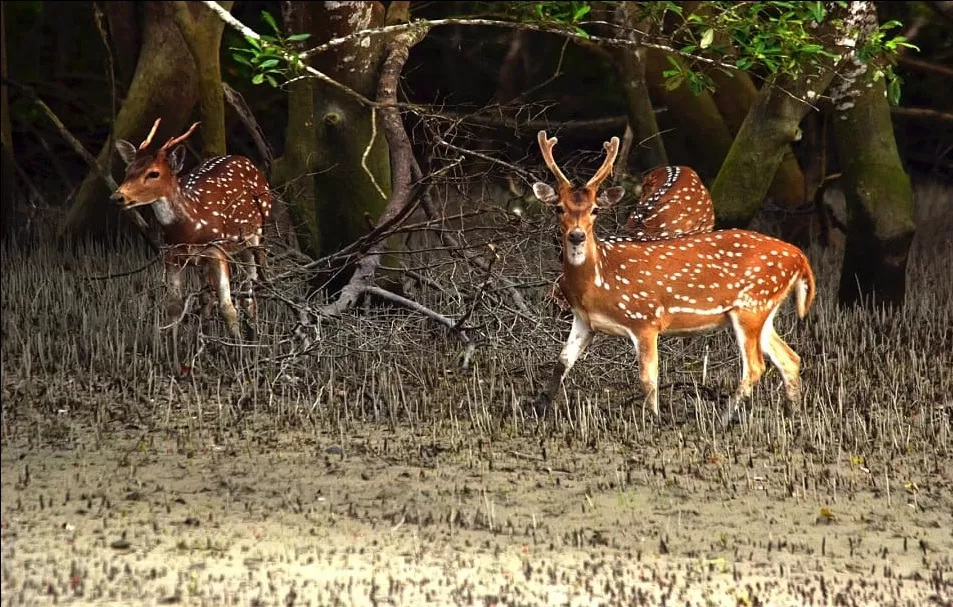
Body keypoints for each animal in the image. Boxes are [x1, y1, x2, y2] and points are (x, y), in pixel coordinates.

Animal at [114, 116, 276, 340]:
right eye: (127, 171)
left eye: (154, 173)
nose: (118, 196)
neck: (191, 226)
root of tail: (247, 161)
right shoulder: (171, 255)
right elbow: (173, 307)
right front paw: (171, 347)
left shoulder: (217, 249)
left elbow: (228, 308)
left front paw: (237, 346)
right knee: (210, 298)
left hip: (258, 231)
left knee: (256, 283)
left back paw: (255, 335)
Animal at [532, 130, 816, 420]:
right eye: (559, 208)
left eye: (595, 209)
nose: (577, 235)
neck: (598, 282)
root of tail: (799, 256)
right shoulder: (584, 321)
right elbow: (561, 362)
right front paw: (538, 408)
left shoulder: (646, 318)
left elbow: (648, 378)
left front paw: (653, 418)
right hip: (763, 309)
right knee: (790, 358)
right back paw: (793, 414)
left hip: (751, 304)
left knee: (756, 366)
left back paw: (724, 418)